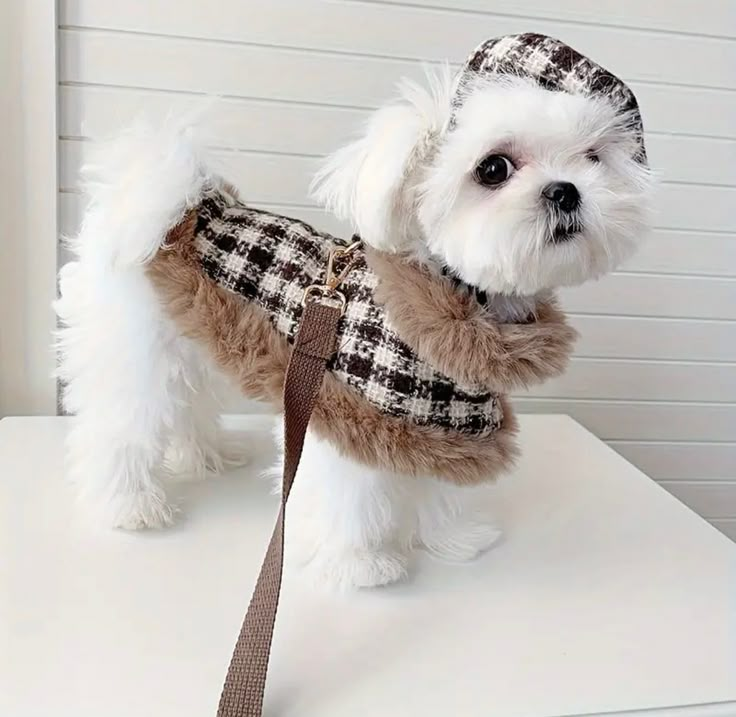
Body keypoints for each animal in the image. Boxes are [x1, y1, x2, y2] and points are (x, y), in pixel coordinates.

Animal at [56, 33, 648, 588]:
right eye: (494, 168)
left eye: (593, 157)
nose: (566, 191)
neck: (458, 308)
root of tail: (179, 203)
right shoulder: (337, 410)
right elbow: (348, 497)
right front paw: (358, 565)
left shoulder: (447, 419)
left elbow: (439, 483)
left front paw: (450, 538)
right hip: (135, 350)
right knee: (120, 426)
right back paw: (130, 506)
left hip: (193, 338)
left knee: (189, 405)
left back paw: (206, 455)